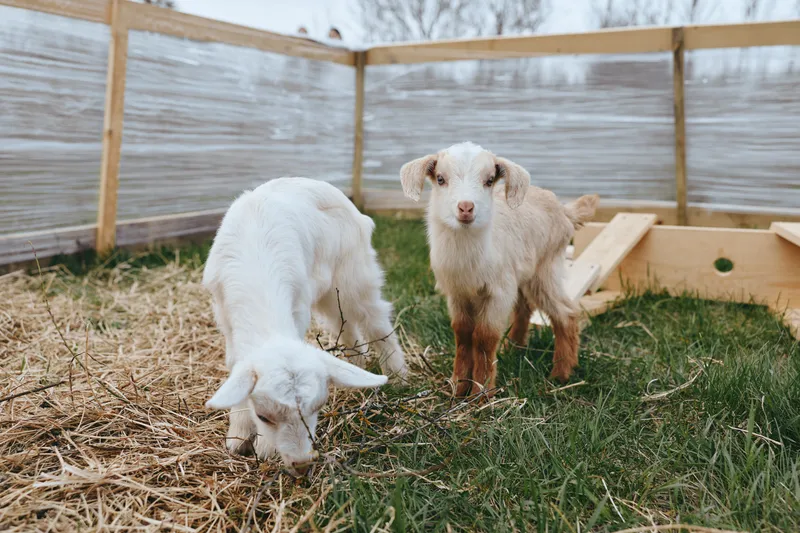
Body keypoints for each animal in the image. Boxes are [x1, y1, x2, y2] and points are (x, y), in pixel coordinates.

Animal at [202, 177, 407, 474]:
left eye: (318, 407)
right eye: (262, 416)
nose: (301, 464)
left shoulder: (298, 305)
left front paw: (264, 449)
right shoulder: (224, 315)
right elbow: (234, 363)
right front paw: (238, 435)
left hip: (355, 276)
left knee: (376, 320)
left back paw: (398, 376)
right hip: (330, 296)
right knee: (345, 326)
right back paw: (355, 365)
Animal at [400, 142, 598, 397]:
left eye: (490, 180)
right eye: (441, 179)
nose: (466, 208)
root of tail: (565, 211)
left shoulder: (498, 292)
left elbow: (484, 337)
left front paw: (481, 393)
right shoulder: (457, 293)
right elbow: (462, 333)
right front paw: (458, 386)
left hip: (545, 268)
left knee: (566, 313)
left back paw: (561, 373)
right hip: (520, 274)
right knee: (524, 308)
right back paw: (513, 348)